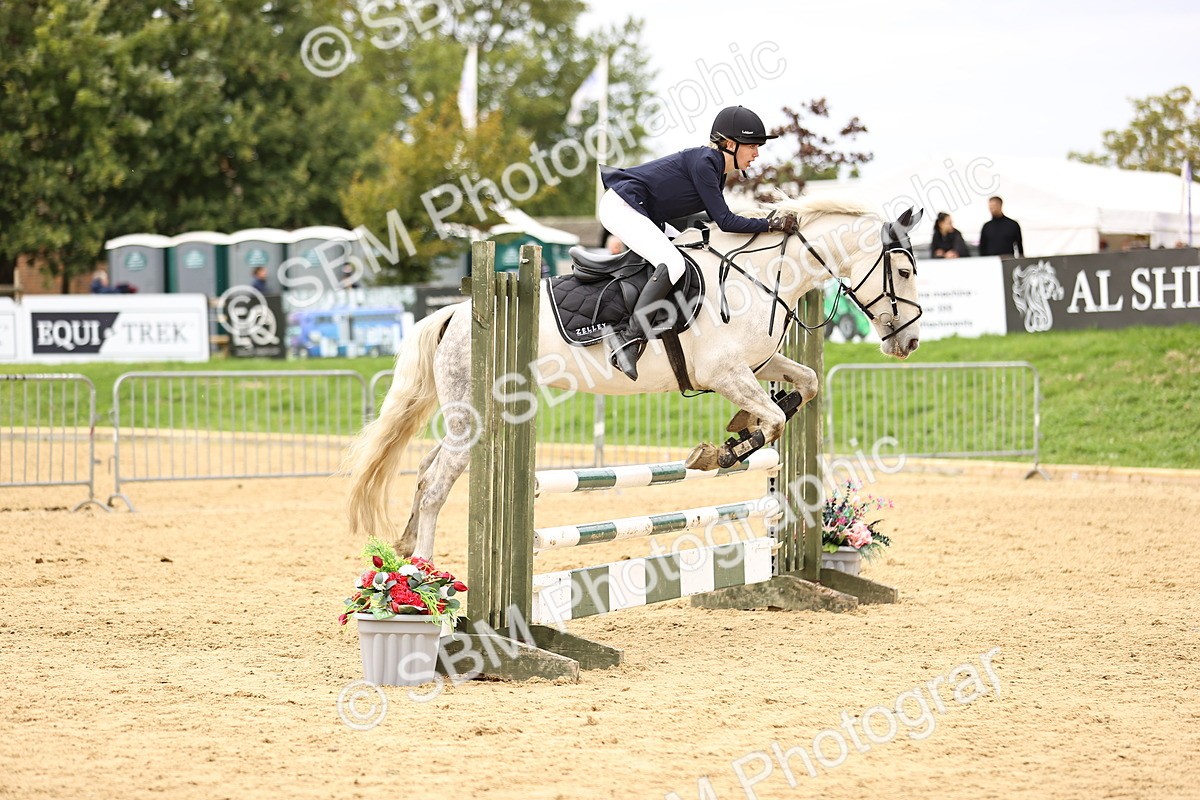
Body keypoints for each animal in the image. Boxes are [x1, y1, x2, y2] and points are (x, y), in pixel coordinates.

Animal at [344, 196, 924, 559]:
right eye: (905, 271)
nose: (910, 342)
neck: (762, 276)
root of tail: (456, 312)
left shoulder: (758, 364)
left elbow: (804, 385)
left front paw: (740, 429)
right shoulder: (726, 371)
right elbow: (774, 420)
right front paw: (725, 451)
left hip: (475, 415)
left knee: (425, 471)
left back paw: (403, 548)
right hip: (476, 416)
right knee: (437, 484)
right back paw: (426, 577)